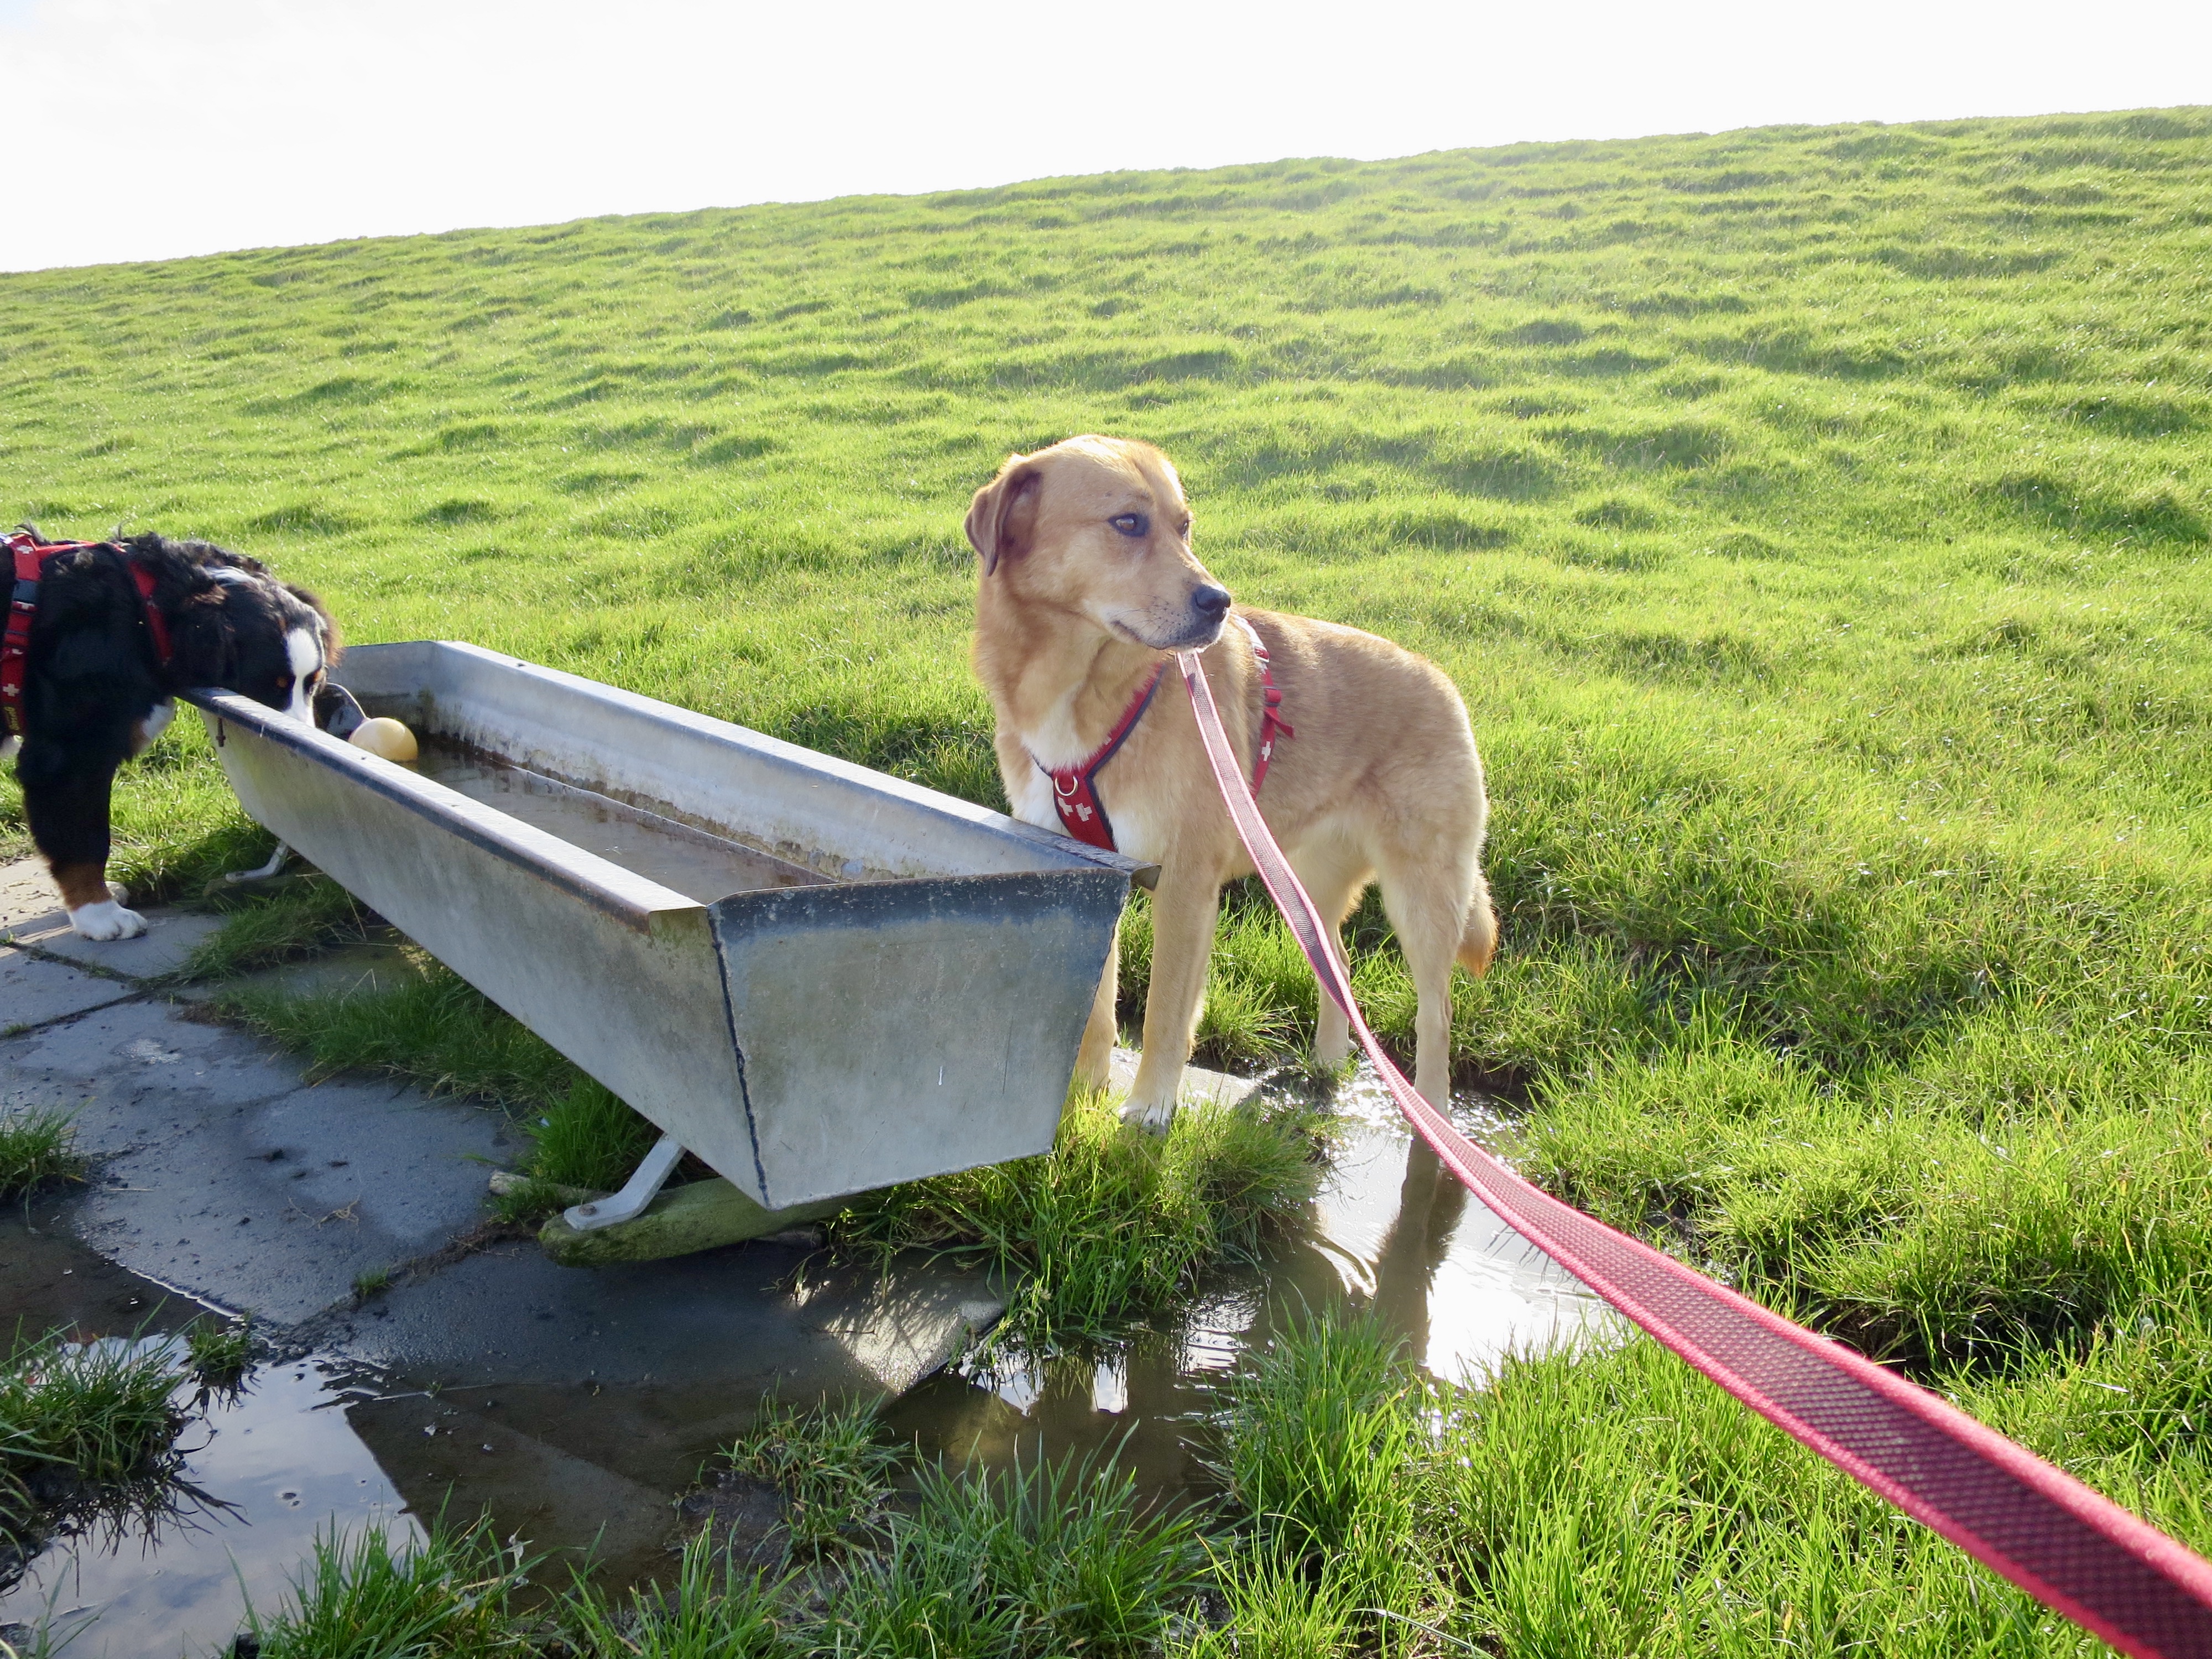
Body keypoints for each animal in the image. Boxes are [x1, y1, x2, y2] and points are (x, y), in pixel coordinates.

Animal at [4, 535, 345, 942]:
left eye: (313, 684)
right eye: (268, 686)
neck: (142, 611)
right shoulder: (71, 755)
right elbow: (85, 841)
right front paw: (100, 915)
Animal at [964, 436, 1495, 1133]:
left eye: (1183, 526)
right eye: (1128, 523)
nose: (1219, 601)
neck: (1084, 686)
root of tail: (1442, 680)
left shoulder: (1187, 884)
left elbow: (1165, 1011)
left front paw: (1149, 1107)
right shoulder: (1094, 870)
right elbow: (1097, 1008)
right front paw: (1081, 1097)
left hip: (1423, 897)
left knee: (1436, 1016)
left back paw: (1430, 1122)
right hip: (1306, 884)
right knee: (1339, 965)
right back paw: (1326, 1066)